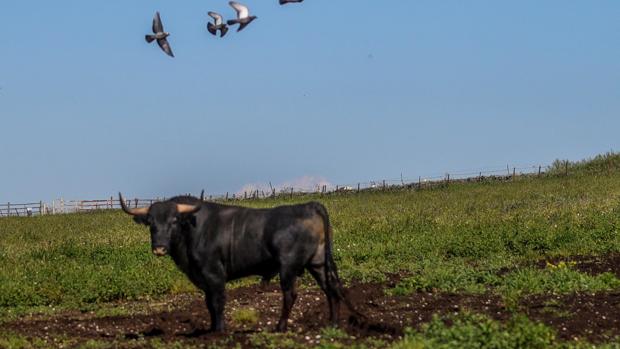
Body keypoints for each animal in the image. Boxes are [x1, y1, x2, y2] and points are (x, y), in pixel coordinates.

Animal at [120, 193, 364, 332]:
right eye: (151, 223)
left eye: (174, 221)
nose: (159, 247)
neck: (194, 228)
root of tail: (308, 205)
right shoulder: (204, 279)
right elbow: (208, 303)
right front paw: (211, 329)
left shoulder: (214, 274)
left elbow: (217, 302)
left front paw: (219, 331)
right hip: (318, 263)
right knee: (331, 289)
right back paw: (332, 324)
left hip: (288, 267)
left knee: (291, 295)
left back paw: (280, 327)